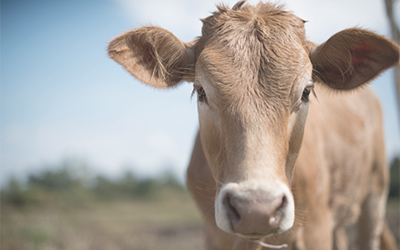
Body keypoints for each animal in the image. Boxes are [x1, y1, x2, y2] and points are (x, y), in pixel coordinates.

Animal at [108, 0, 398, 249]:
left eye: (306, 92)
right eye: (201, 91)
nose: (256, 209)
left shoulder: (317, 230)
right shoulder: (213, 236)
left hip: (376, 192)